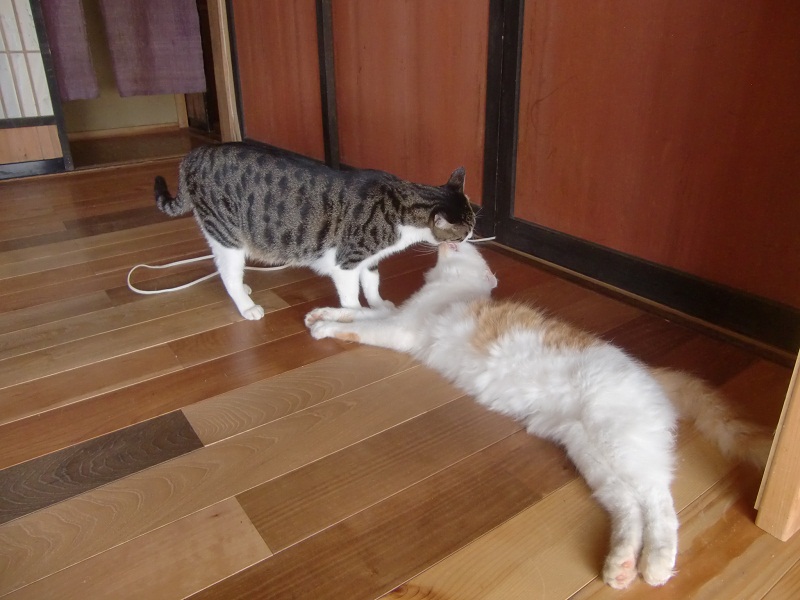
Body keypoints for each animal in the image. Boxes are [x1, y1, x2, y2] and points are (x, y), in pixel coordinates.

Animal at [154, 142, 475, 320]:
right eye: (465, 231)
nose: (472, 236)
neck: (401, 206)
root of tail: (194, 154)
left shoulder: (369, 260)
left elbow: (372, 282)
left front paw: (378, 304)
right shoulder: (347, 261)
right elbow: (350, 295)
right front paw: (357, 315)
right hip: (226, 233)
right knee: (228, 274)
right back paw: (247, 306)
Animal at [305, 240, 773, 589]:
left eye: (471, 250)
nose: (456, 238)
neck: (454, 289)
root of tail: (650, 372)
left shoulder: (400, 328)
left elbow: (363, 324)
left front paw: (326, 327)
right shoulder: (396, 313)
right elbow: (363, 309)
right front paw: (322, 312)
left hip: (619, 444)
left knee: (660, 502)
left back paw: (655, 564)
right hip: (591, 453)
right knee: (628, 507)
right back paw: (621, 564)